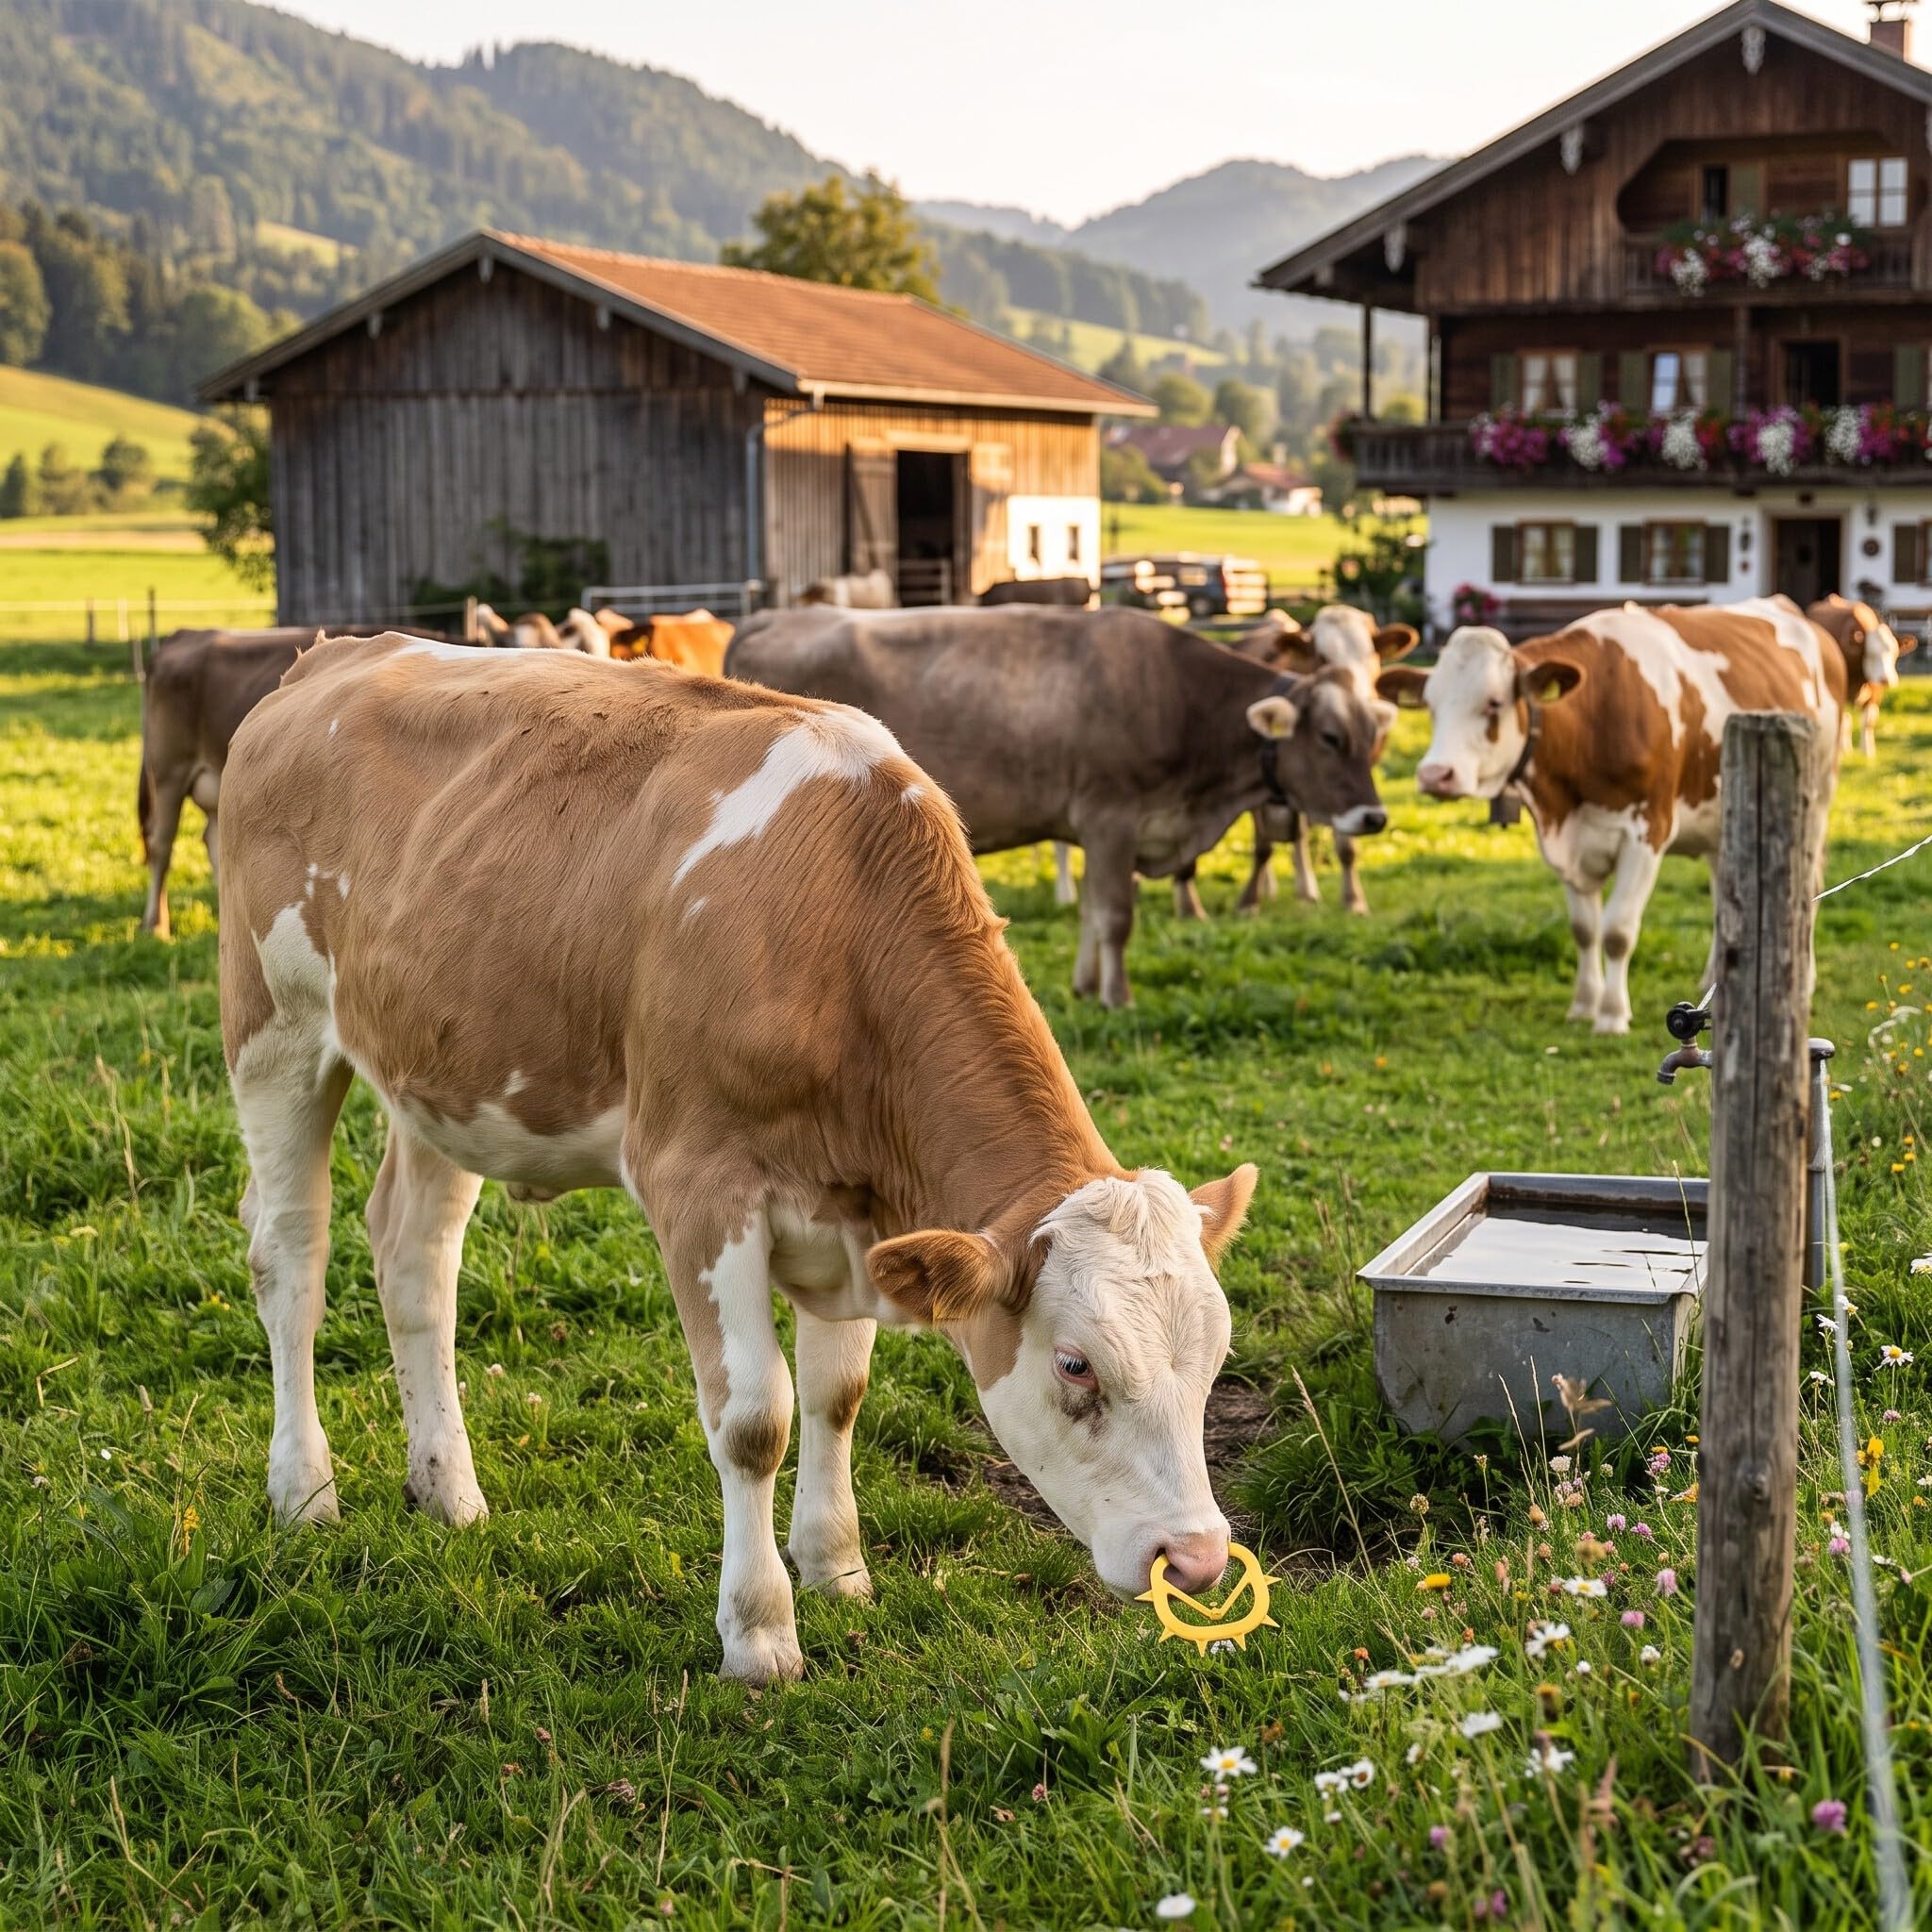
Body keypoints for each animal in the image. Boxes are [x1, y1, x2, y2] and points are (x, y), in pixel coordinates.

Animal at [216, 632, 1260, 1684]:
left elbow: (837, 1397)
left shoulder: (855, 1215)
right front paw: (760, 1633)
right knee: (291, 1255)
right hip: (273, 1028)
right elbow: (755, 1418)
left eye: (1216, 1356)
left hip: (444, 1076)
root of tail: (337, 653)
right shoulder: (698, 1185)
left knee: (415, 1258)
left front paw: (836, 1567)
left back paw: (449, 1491)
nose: (1197, 1558)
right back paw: (302, 1490)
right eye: (1077, 1365)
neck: (837, 934)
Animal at [727, 605, 1392, 1007]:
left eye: (1375, 734)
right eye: (1331, 737)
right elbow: (1117, 916)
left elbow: (1093, 913)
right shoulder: (1112, 819)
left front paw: (1086, 985)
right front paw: (1118, 998)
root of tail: (770, 614)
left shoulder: (1101, 830)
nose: (1374, 817)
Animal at [1377, 598, 1844, 1035]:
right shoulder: (1564, 841)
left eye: (1493, 703)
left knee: (1807, 886)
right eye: (1430, 705)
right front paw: (1584, 1005)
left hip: (1816, 802)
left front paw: (1612, 1015)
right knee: (1724, 893)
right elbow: (1584, 928)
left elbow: (1617, 931)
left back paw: (1805, 980)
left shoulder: (1647, 834)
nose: (1435, 774)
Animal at [1807, 595, 1913, 757]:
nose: (1886, 679)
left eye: (1894, 653)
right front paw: (1841, 752)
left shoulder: (1875, 690)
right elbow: (1843, 721)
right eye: (1871, 654)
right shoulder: (1841, 692)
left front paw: (1868, 751)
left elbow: (1868, 721)